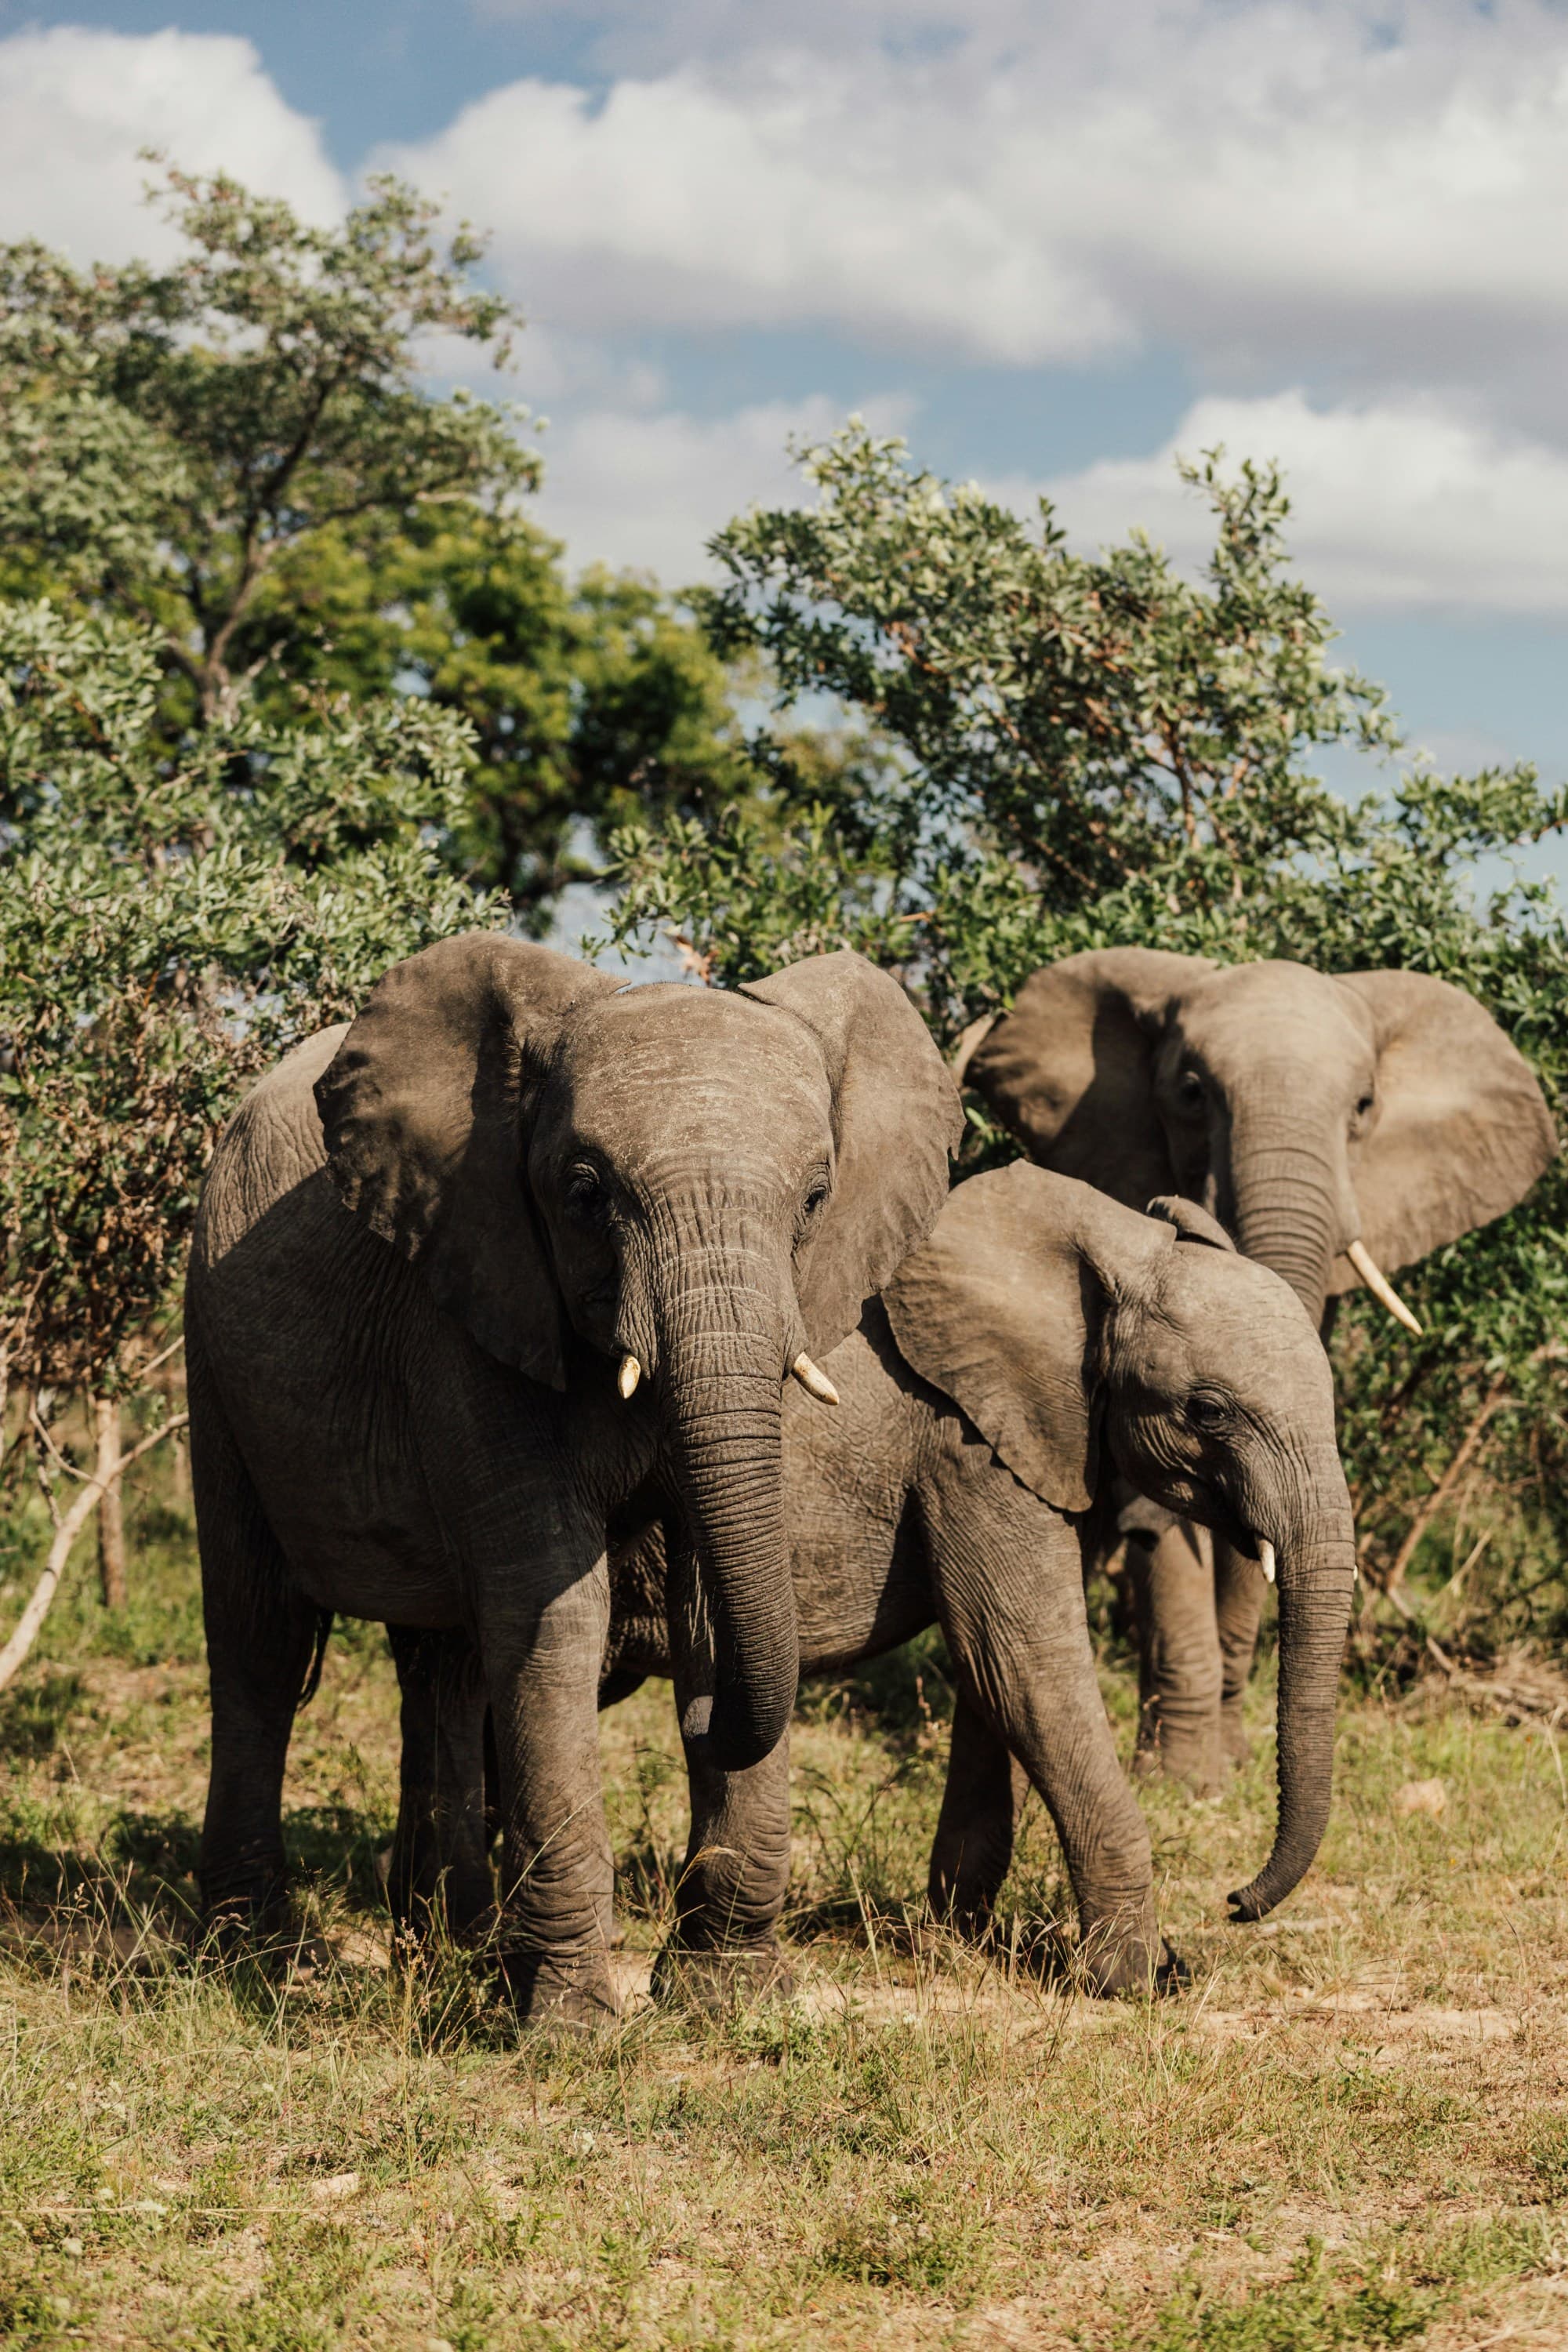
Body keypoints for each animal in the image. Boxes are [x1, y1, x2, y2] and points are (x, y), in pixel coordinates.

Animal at [184, 932, 961, 2025]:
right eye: (585, 1193)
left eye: (816, 1200)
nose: (706, 1722)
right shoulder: (467, 1296)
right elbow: (553, 1608)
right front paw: (570, 2028)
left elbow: (708, 1596)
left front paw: (730, 2000)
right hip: (210, 1343)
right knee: (260, 1633)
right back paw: (254, 1956)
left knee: (442, 1661)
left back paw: (450, 1944)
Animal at [590, 1162, 1357, 1998]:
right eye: (1210, 1411)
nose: (1235, 1902)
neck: (1107, 1244)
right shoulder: (967, 1443)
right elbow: (1024, 1664)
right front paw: (1139, 1980)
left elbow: (991, 1678)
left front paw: (958, 1942)